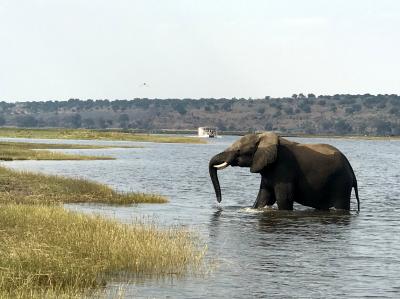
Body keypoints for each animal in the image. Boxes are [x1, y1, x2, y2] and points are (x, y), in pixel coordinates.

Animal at [209, 132, 360, 212]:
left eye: (239, 151)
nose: (219, 202)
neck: (263, 136)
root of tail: (352, 172)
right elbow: (263, 196)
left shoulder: (284, 169)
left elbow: (284, 198)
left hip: (341, 183)